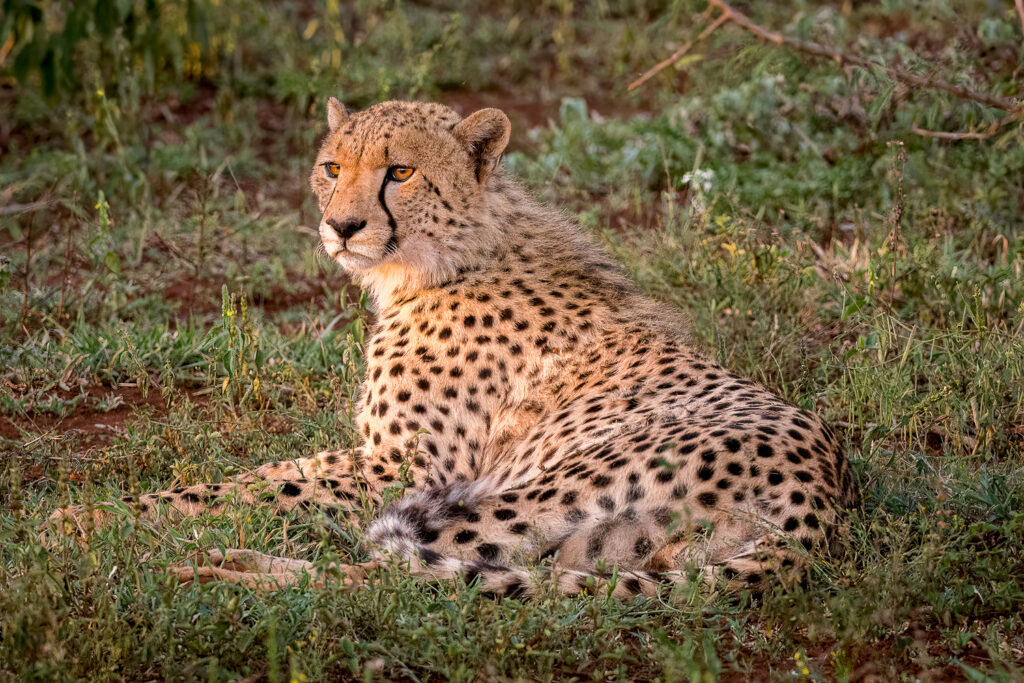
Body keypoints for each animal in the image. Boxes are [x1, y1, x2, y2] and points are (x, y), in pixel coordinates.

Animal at [48, 99, 860, 599]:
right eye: (332, 167)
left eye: (401, 171)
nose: (340, 226)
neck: (449, 257)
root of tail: (823, 503)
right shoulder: (375, 457)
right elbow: (263, 473)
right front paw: (103, 513)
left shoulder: (406, 470)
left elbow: (246, 487)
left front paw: (84, 521)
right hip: (597, 546)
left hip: (517, 496)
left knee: (388, 579)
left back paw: (218, 572)